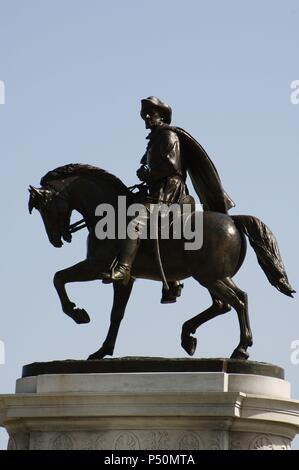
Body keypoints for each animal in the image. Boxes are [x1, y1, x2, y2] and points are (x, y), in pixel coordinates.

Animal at [28, 164, 296, 360]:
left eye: (45, 208)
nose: (55, 240)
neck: (109, 215)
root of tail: (233, 220)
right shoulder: (126, 278)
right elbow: (116, 314)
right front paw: (102, 351)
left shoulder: (97, 265)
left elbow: (59, 278)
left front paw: (77, 313)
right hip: (212, 277)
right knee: (226, 303)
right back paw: (188, 336)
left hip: (210, 277)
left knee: (238, 301)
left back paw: (239, 349)